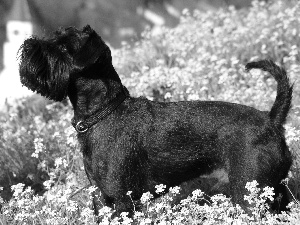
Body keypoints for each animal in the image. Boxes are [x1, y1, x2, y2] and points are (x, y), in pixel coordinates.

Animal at [17, 25, 292, 216]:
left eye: (64, 47)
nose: (27, 46)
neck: (103, 113)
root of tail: (271, 120)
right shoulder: (101, 197)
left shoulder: (121, 199)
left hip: (248, 190)